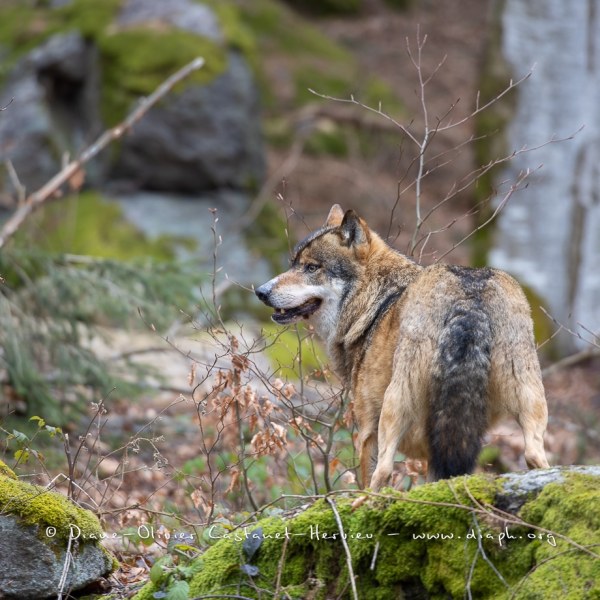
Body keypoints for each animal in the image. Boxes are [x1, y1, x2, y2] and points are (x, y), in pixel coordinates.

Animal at [253, 204, 548, 490]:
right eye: (293, 264)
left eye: (311, 268)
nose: (260, 291)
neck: (373, 301)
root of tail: (468, 296)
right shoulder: (433, 446)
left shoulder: (367, 428)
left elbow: (370, 473)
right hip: (529, 400)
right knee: (536, 457)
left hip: (394, 405)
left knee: (382, 472)